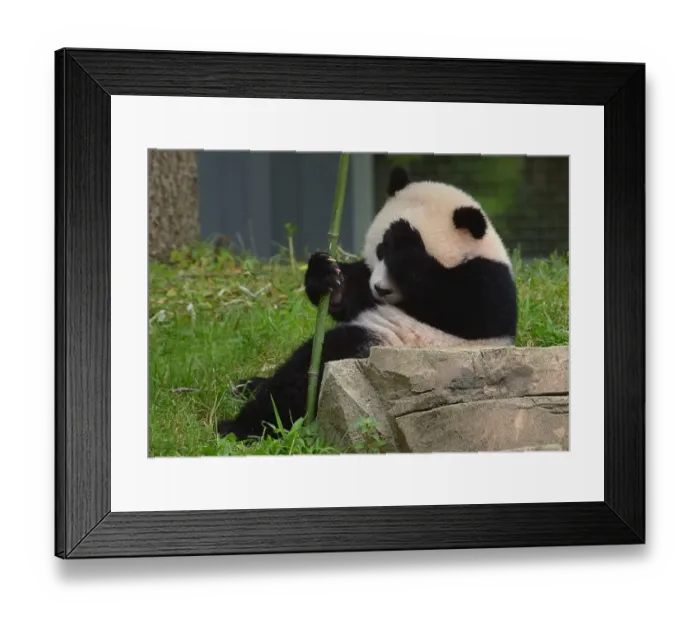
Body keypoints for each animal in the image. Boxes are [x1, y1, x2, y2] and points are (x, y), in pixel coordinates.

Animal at [217, 166, 518, 440]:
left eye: (396, 262)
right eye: (380, 251)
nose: (381, 289)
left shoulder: (488, 280)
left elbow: (465, 307)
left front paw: (405, 238)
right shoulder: (368, 283)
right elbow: (351, 293)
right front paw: (325, 275)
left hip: (387, 350)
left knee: (311, 370)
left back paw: (241, 426)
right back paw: (248, 387)